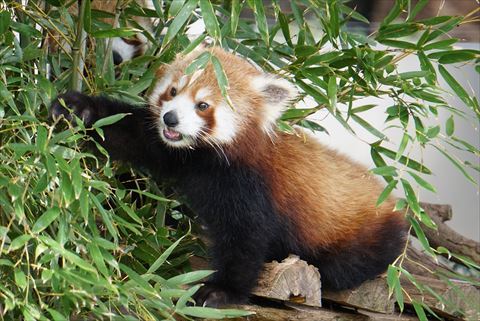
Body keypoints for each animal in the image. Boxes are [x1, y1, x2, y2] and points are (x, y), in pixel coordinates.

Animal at [49, 45, 408, 304]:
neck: (207, 158)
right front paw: (78, 109)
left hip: (364, 235)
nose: (170, 118)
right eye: (173, 92)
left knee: (347, 264)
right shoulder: (173, 151)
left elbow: (245, 238)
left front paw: (222, 291)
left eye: (203, 105)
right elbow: (131, 133)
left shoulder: (248, 185)